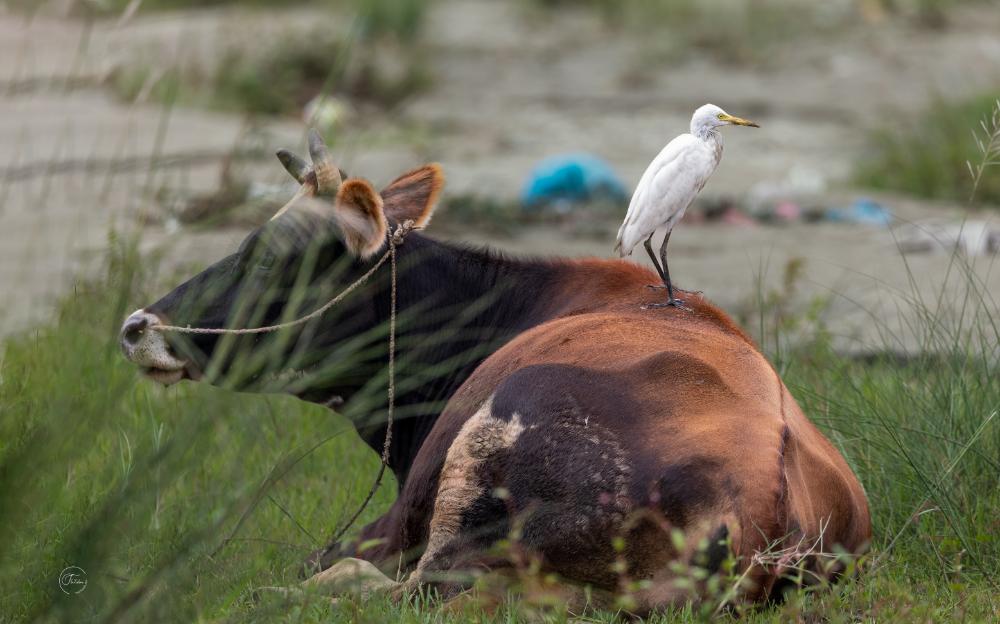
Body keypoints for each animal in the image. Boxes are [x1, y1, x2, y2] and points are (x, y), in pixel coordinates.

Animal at [119, 133, 868, 616]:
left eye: (270, 259)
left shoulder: (399, 511)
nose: (136, 325)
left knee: (412, 588)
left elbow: (328, 555)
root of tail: (759, 501)